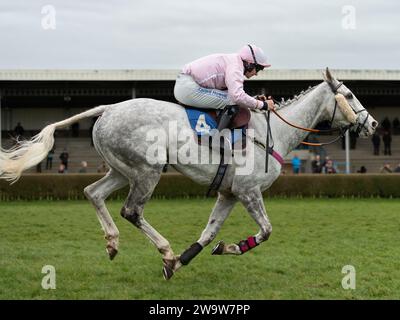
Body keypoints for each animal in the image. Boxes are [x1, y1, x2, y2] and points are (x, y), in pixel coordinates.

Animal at [0, 68, 376, 280]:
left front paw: (190, 259)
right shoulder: (248, 191)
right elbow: (266, 230)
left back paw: (113, 243)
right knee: (131, 211)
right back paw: (163, 249)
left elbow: (209, 234)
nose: (372, 124)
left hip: (122, 170)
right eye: (349, 94)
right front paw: (218, 250)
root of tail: (108, 108)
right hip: (147, 171)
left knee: (93, 193)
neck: (273, 133)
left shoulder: (229, 193)